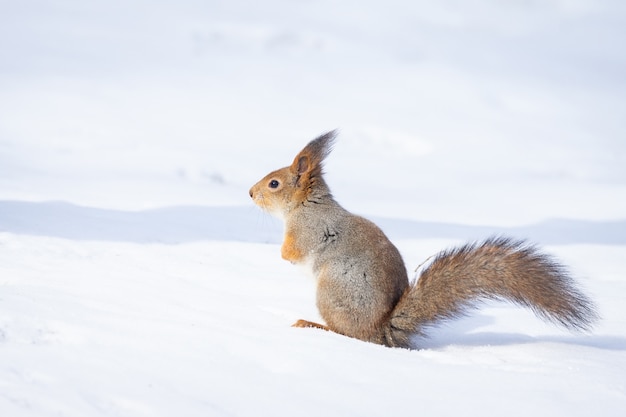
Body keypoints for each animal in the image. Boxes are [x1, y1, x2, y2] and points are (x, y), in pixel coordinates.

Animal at [247, 131, 596, 348]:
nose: (250, 192)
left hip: (334, 291)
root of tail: (381, 330)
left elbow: (292, 252)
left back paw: (313, 325)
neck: (307, 204)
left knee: (348, 333)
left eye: (274, 183)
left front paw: (280, 253)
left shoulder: (307, 230)